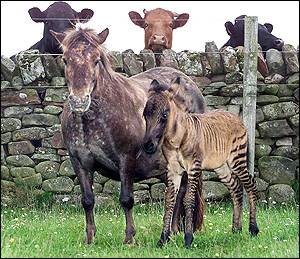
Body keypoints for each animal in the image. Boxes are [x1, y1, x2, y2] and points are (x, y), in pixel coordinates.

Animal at [50, 27, 207, 245]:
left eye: (96, 60)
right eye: (65, 60)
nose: (80, 100)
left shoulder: (126, 159)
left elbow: (126, 199)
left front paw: (129, 238)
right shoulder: (79, 162)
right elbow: (87, 200)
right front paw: (90, 238)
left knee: (182, 192)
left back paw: (175, 230)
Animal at [142, 78, 258, 249]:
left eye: (164, 115)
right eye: (144, 114)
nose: (148, 146)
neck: (175, 140)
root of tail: (235, 116)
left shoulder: (193, 167)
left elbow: (188, 200)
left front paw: (188, 238)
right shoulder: (173, 170)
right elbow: (169, 201)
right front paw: (163, 239)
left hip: (237, 159)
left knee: (250, 185)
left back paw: (253, 229)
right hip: (221, 167)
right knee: (236, 188)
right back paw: (236, 229)